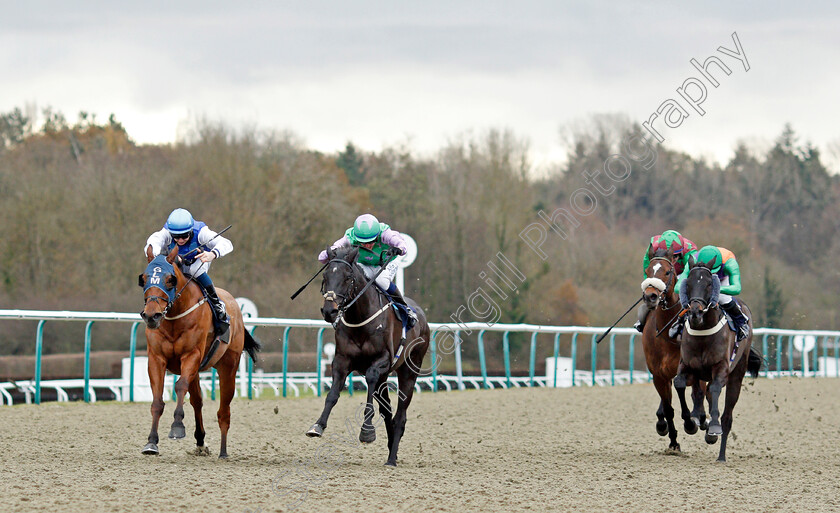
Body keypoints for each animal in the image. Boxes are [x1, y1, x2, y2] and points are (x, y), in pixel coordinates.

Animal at [138, 246, 260, 458]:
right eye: (144, 279)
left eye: (169, 279)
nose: (152, 316)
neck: (174, 318)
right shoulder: (156, 358)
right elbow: (157, 400)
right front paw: (151, 442)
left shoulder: (191, 355)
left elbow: (179, 386)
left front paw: (177, 427)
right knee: (197, 401)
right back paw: (201, 441)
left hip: (228, 366)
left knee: (223, 411)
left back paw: (223, 451)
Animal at [306, 246, 430, 466]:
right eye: (325, 276)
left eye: (347, 277)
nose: (329, 311)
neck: (360, 319)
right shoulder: (341, 361)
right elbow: (332, 395)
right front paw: (318, 425)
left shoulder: (382, 360)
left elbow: (371, 380)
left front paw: (367, 432)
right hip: (386, 376)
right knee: (388, 411)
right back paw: (391, 450)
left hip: (410, 369)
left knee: (400, 414)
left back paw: (391, 459)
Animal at [644, 248, 708, 452]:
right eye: (647, 271)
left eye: (667, 272)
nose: (650, 296)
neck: (668, 334)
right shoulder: (659, 375)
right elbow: (668, 408)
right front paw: (673, 441)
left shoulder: (687, 370)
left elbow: (688, 392)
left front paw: (690, 422)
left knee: (702, 392)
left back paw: (702, 420)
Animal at [672, 260, 764, 460]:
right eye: (688, 283)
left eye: (709, 284)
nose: (695, 313)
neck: (703, 333)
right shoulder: (687, 365)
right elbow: (680, 383)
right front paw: (689, 422)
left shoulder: (721, 368)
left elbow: (714, 390)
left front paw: (713, 427)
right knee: (702, 393)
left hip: (737, 374)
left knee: (727, 416)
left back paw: (721, 455)